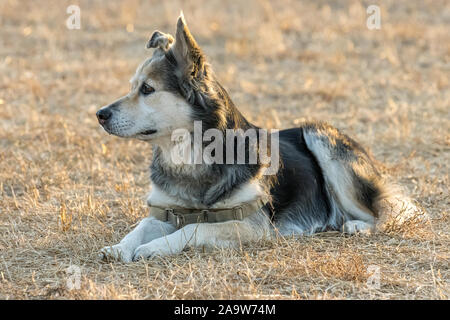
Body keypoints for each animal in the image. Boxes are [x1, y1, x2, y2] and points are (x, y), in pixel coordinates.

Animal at [96, 14, 422, 262]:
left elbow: (194, 229)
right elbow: (141, 226)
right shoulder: (164, 211)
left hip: (321, 140)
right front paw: (120, 247)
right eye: (132, 86)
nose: (100, 114)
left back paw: (357, 226)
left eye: (147, 89)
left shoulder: (254, 225)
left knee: (384, 211)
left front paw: (154, 247)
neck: (189, 156)